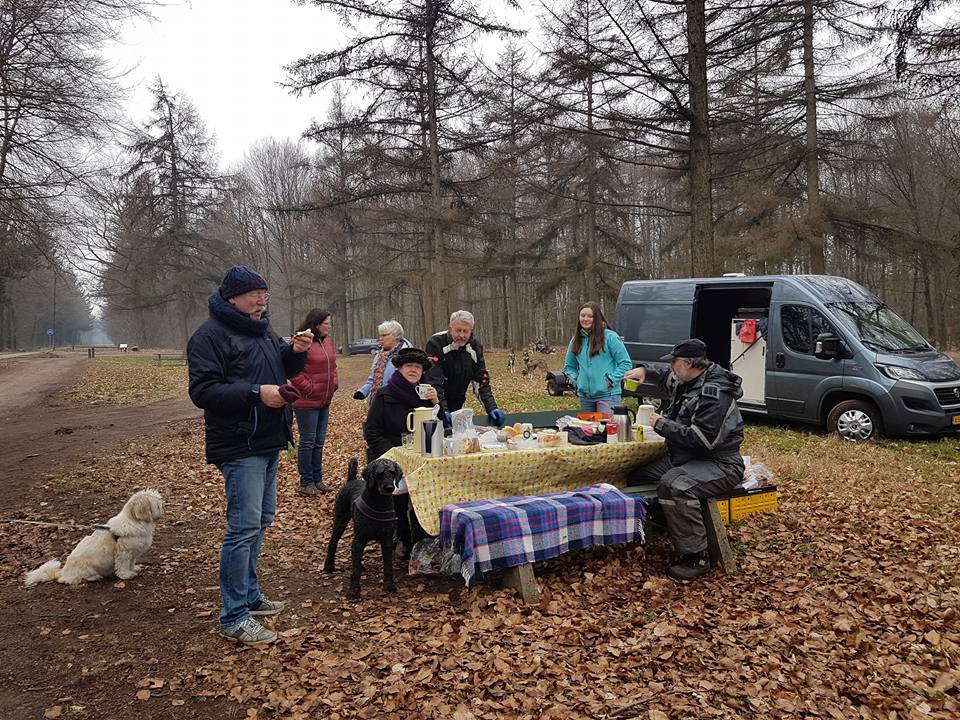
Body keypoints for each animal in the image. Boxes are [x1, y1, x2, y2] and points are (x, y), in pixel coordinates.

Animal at [23, 486, 165, 588]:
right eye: (157, 504)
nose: (164, 506)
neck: (135, 521)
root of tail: (63, 572)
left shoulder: (133, 553)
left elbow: (131, 563)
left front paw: (133, 569)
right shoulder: (123, 553)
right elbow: (123, 565)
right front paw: (126, 575)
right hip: (86, 569)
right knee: (76, 579)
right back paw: (95, 577)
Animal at [318, 458, 402, 600]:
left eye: (392, 472)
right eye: (379, 474)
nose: (389, 488)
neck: (379, 503)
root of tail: (351, 480)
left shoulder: (387, 540)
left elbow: (388, 565)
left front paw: (389, 585)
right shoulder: (360, 539)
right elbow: (355, 570)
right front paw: (354, 590)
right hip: (340, 520)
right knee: (333, 542)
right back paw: (329, 565)